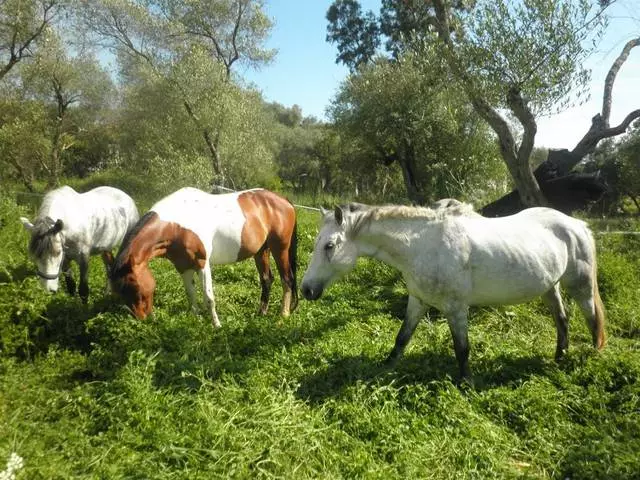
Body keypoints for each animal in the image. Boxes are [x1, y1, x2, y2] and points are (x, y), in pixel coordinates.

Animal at [109, 187, 298, 326]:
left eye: (134, 285)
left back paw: (283, 314)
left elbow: (209, 298)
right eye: (119, 290)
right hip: (261, 251)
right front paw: (196, 318)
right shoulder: (183, 267)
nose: (142, 319)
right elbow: (191, 294)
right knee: (267, 280)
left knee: (286, 279)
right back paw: (261, 313)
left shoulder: (202, 264)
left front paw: (217, 325)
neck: (177, 225)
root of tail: (284, 201)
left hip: (280, 249)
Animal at [302, 202, 608, 382]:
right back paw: (559, 358)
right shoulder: (418, 301)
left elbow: (462, 348)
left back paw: (591, 360)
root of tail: (577, 225)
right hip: (549, 287)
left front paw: (465, 383)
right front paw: (386, 367)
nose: (306, 289)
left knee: (592, 320)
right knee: (562, 320)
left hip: (580, 287)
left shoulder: (456, 308)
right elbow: (402, 338)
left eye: (329, 246)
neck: (423, 245)